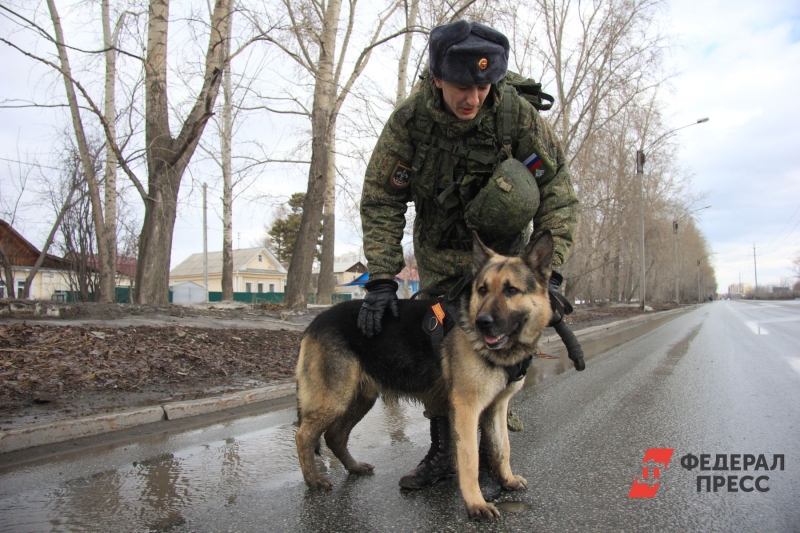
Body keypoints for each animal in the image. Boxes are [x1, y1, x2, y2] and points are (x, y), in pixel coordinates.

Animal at [296, 231, 552, 516]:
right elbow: (469, 458)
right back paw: (314, 480)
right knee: (304, 436)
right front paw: (475, 503)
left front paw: (506, 480)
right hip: (334, 400)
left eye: (511, 290)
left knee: (335, 436)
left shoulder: (496, 407)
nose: (482, 322)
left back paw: (353, 467)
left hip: (360, 399)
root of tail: (314, 322)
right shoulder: (467, 409)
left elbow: (501, 447)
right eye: (482, 290)